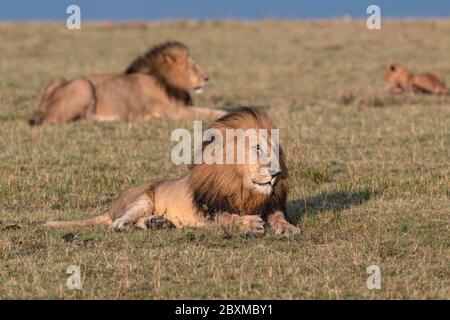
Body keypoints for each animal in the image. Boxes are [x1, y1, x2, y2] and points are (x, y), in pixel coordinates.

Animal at [29, 40, 225, 125]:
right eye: (194, 66)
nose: (207, 78)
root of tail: (42, 110)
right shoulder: (176, 111)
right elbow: (210, 112)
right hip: (84, 85)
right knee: (86, 118)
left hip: (59, 78)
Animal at [45, 109, 300, 236]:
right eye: (256, 148)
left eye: (274, 150)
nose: (276, 173)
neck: (241, 185)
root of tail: (110, 207)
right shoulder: (209, 211)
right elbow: (229, 217)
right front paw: (251, 224)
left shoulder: (271, 205)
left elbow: (278, 217)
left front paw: (288, 228)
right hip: (143, 198)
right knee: (117, 224)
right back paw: (134, 226)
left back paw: (158, 223)